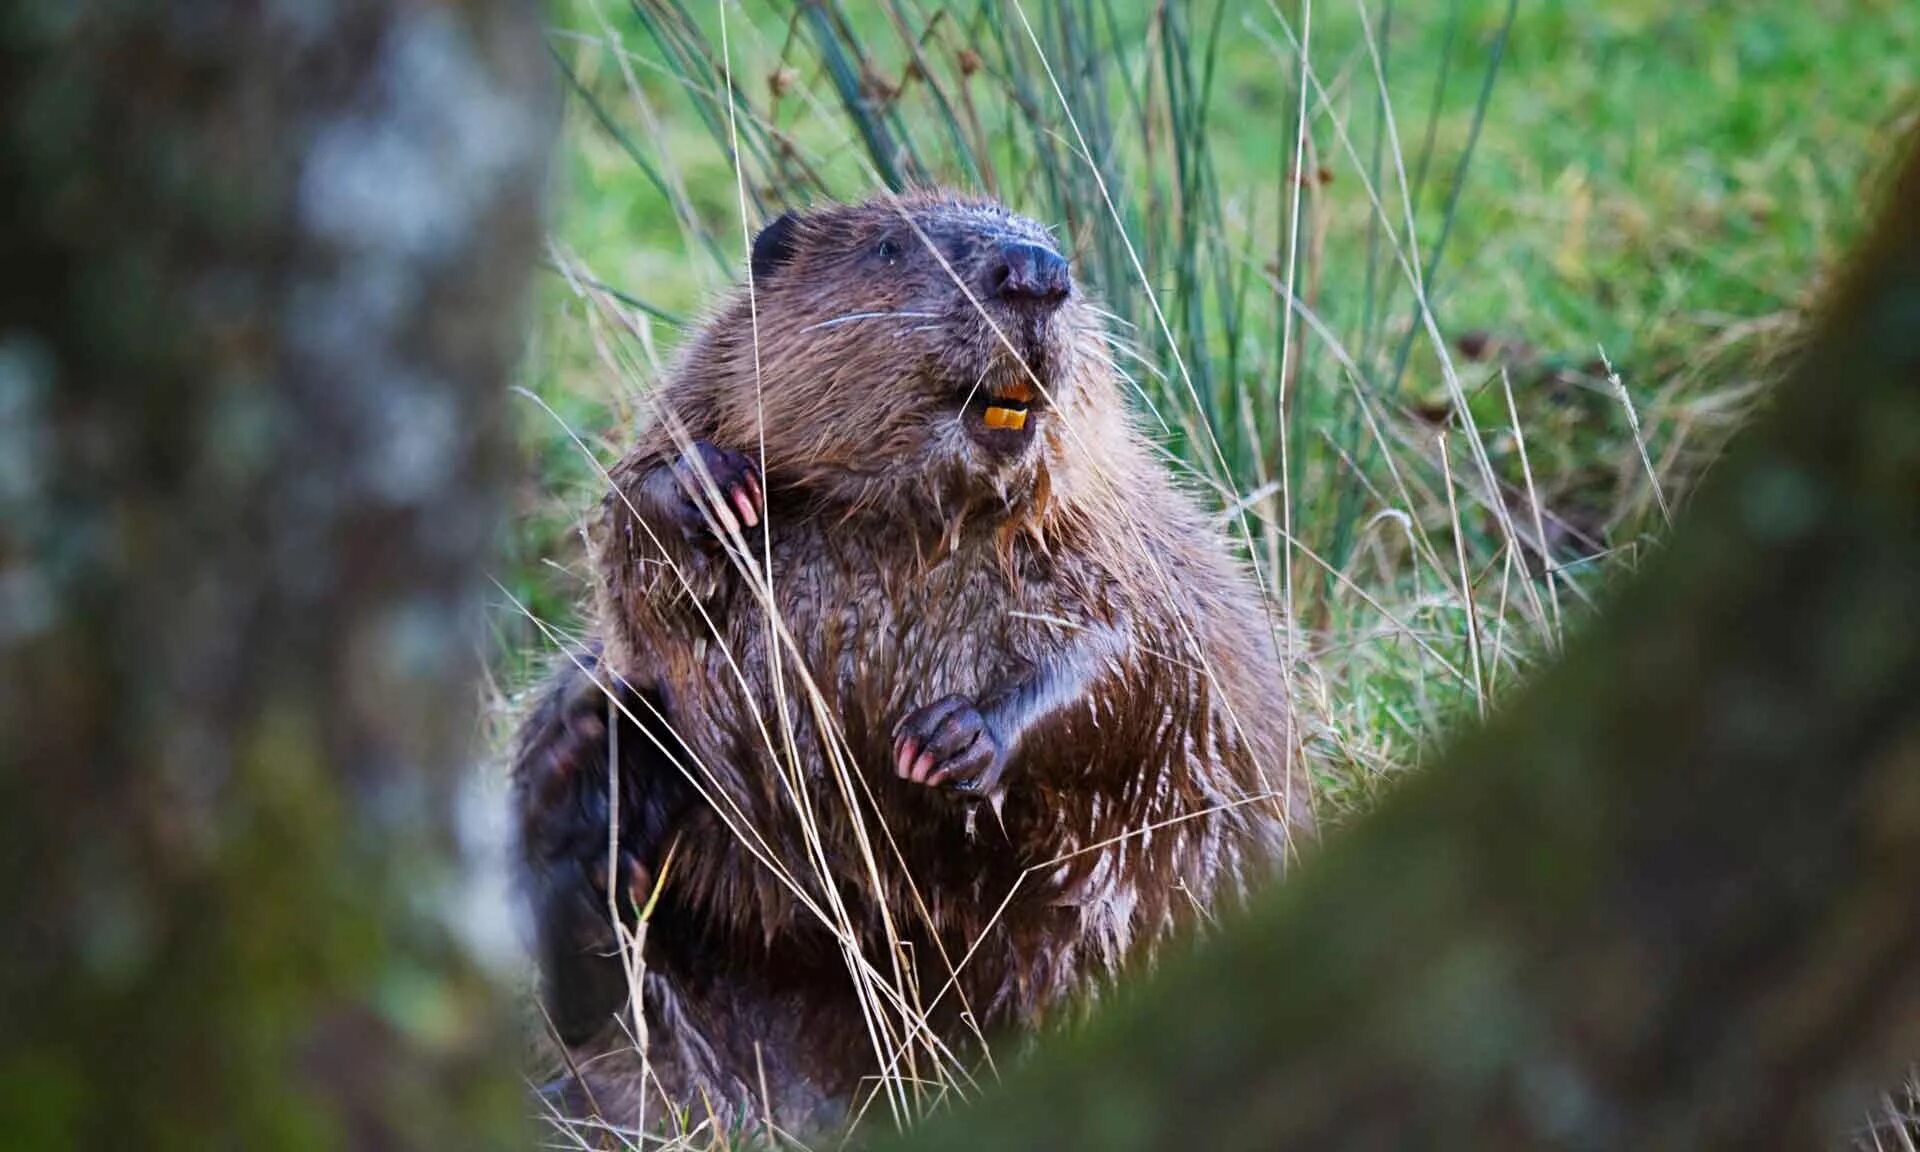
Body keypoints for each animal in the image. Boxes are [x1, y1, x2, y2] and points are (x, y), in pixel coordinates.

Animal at [510, 189, 1320, 1136]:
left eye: (1051, 243)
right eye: (893, 248)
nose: (1036, 274)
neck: (913, 523)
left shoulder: (1111, 532)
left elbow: (1130, 654)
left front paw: (948, 742)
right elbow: (632, 546)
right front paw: (712, 488)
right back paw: (588, 783)